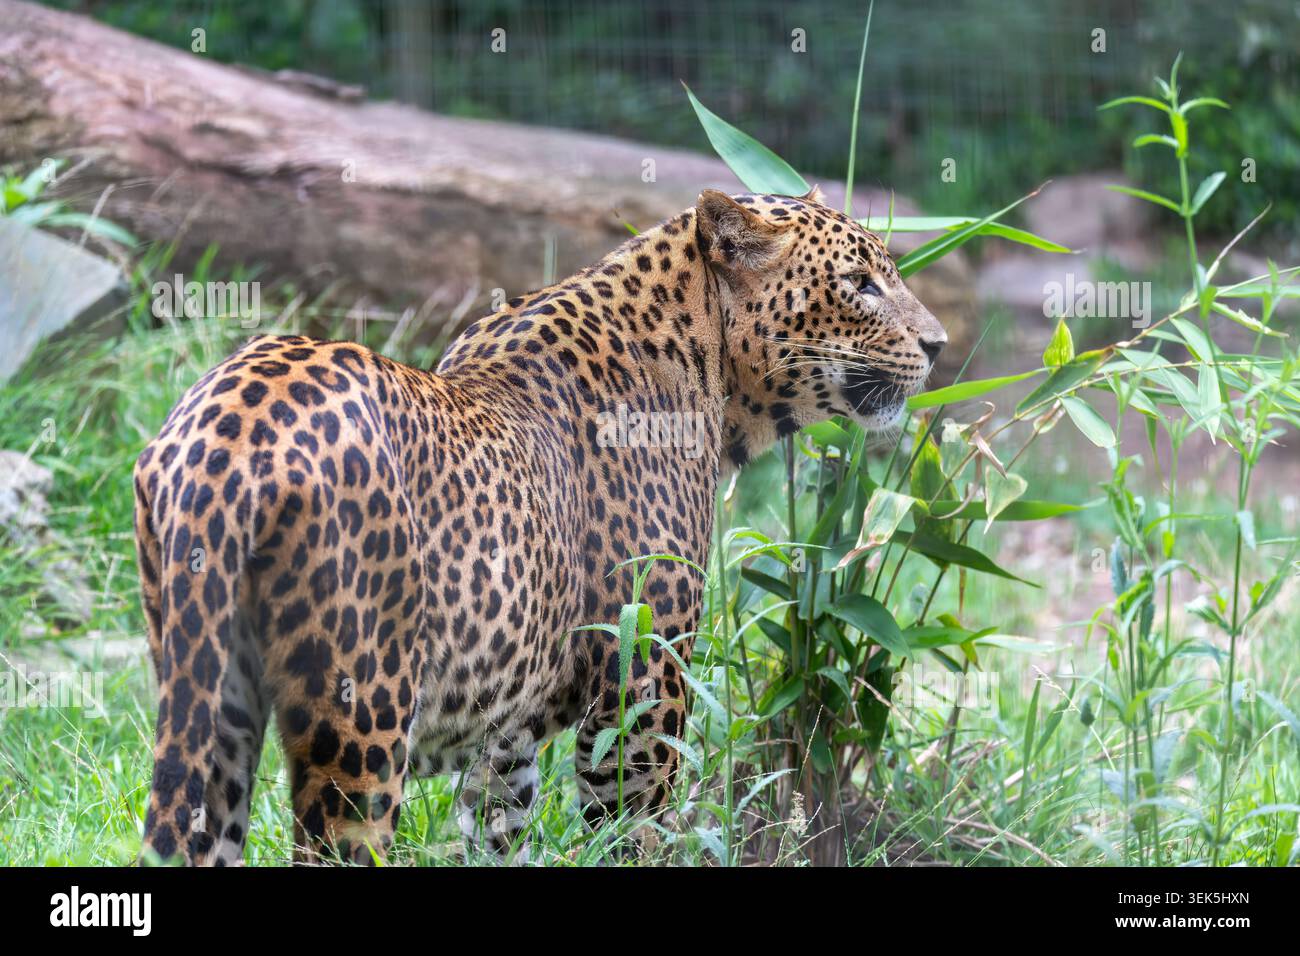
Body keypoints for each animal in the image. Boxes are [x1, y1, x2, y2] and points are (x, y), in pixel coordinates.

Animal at [132, 186, 945, 865]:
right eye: (860, 284)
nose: (938, 345)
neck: (712, 366)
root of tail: (229, 433)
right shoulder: (641, 693)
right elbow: (632, 837)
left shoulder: (506, 732)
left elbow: (499, 830)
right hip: (359, 725)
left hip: (207, 695)